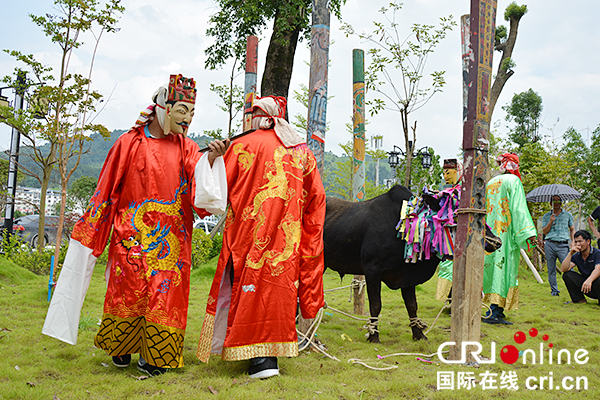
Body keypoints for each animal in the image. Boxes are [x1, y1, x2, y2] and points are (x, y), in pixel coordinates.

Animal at [324, 186, 502, 342]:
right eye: (456, 217)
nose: (497, 241)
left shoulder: (407, 277)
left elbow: (412, 306)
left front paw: (419, 334)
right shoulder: (372, 270)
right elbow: (376, 305)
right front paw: (374, 336)